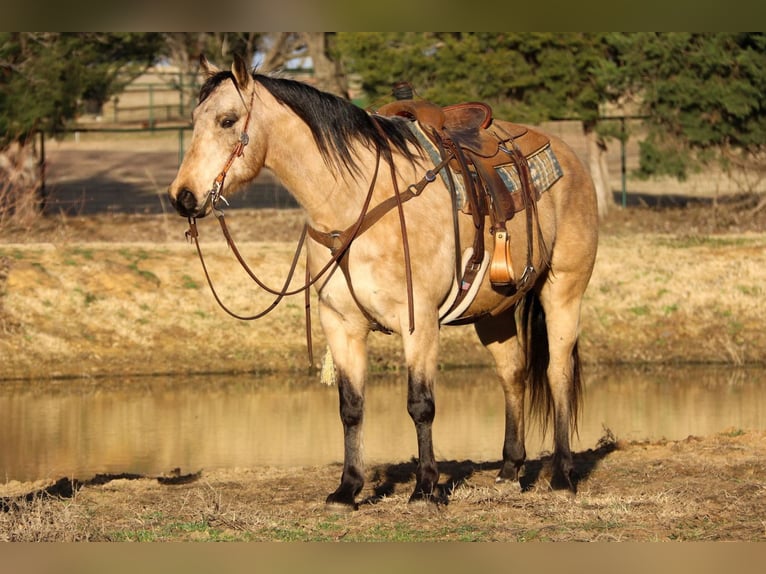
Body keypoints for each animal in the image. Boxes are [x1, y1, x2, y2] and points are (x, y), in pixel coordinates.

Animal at [168, 56, 600, 510]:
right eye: (195, 119)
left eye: (227, 120)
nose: (183, 196)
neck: (355, 205)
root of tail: (567, 155)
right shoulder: (340, 325)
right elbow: (351, 407)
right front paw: (347, 489)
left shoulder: (420, 322)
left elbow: (420, 404)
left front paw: (426, 488)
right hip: (493, 313)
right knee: (513, 374)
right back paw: (509, 471)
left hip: (564, 291)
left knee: (557, 373)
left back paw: (563, 475)